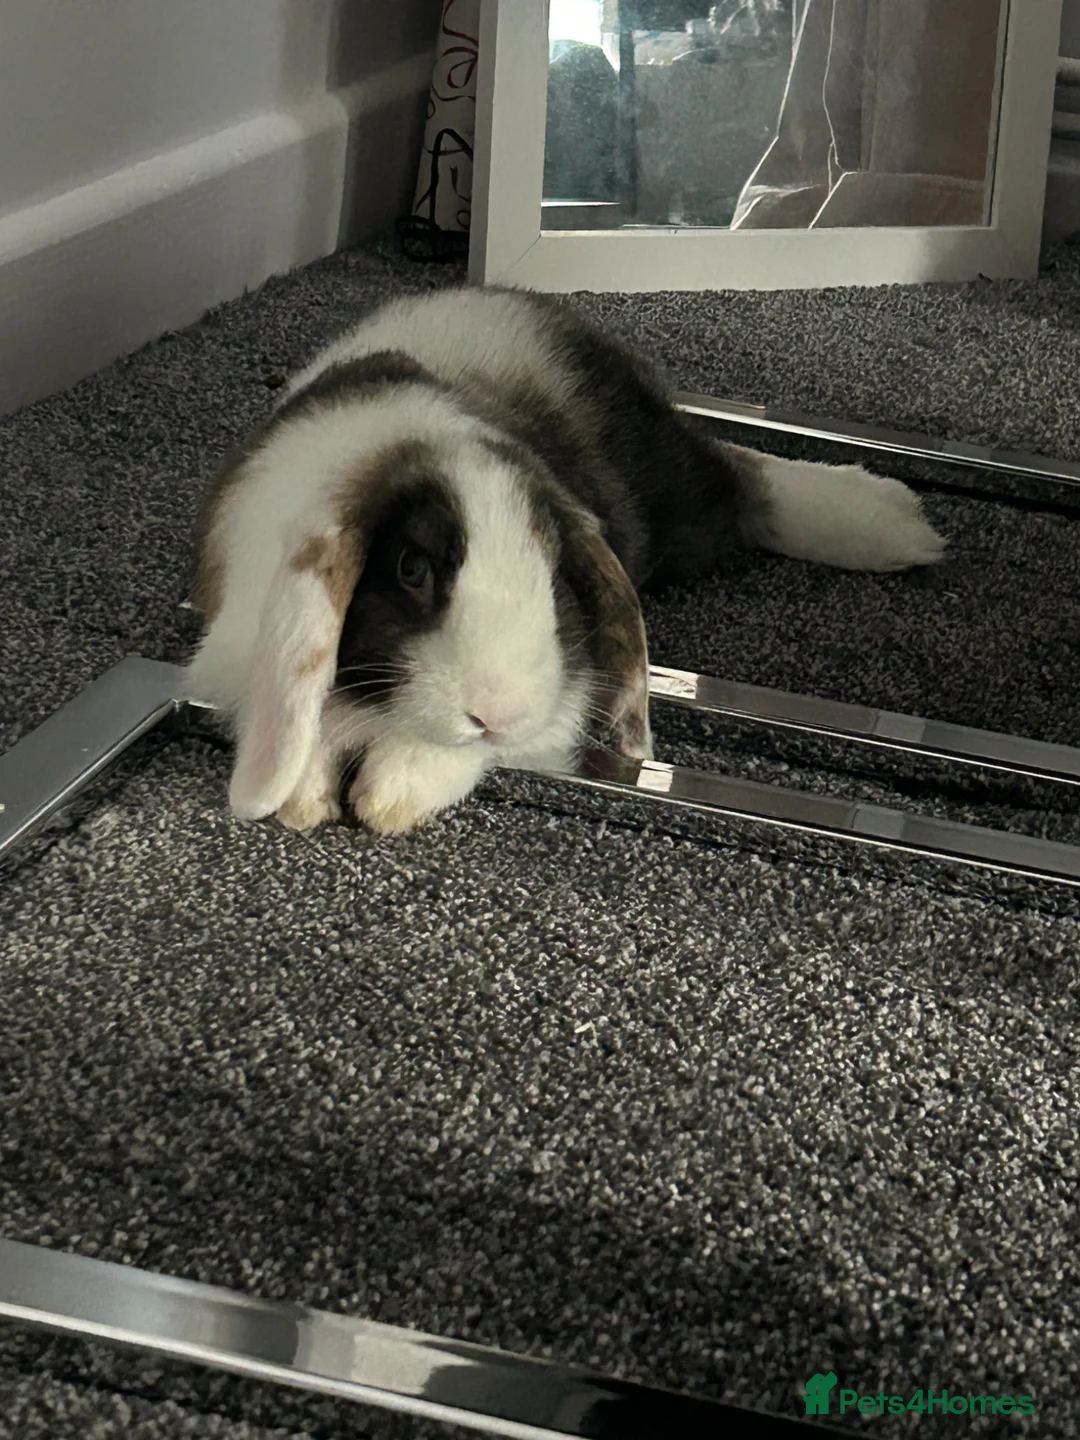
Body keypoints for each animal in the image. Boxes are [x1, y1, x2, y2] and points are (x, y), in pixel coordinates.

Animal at [186, 285, 945, 836]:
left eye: (554, 576)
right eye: (412, 568)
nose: (498, 710)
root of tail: (530, 304)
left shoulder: (567, 693)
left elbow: (464, 752)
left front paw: (391, 789)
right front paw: (303, 792)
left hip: (677, 496)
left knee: (749, 482)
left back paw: (899, 523)